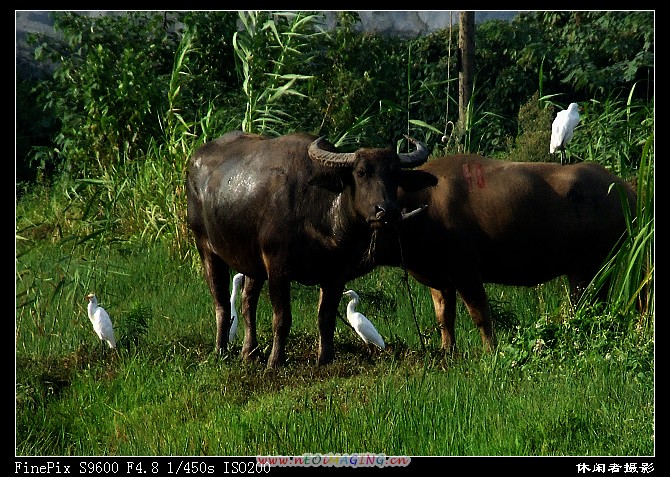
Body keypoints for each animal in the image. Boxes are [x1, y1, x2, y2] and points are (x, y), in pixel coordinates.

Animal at [188, 130, 430, 368]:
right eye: (361, 173)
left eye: (395, 175)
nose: (386, 211)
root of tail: (195, 160)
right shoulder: (277, 268)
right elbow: (282, 318)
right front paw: (275, 361)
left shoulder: (336, 273)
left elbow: (326, 318)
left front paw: (325, 359)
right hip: (206, 249)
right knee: (221, 303)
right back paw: (221, 351)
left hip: (252, 263)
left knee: (248, 302)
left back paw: (250, 353)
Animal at [354, 154, 636, 352]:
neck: (423, 205)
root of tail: (626, 190)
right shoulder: (440, 280)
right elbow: (444, 317)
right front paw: (447, 350)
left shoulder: (466, 272)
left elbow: (480, 314)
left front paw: (490, 350)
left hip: (586, 269)